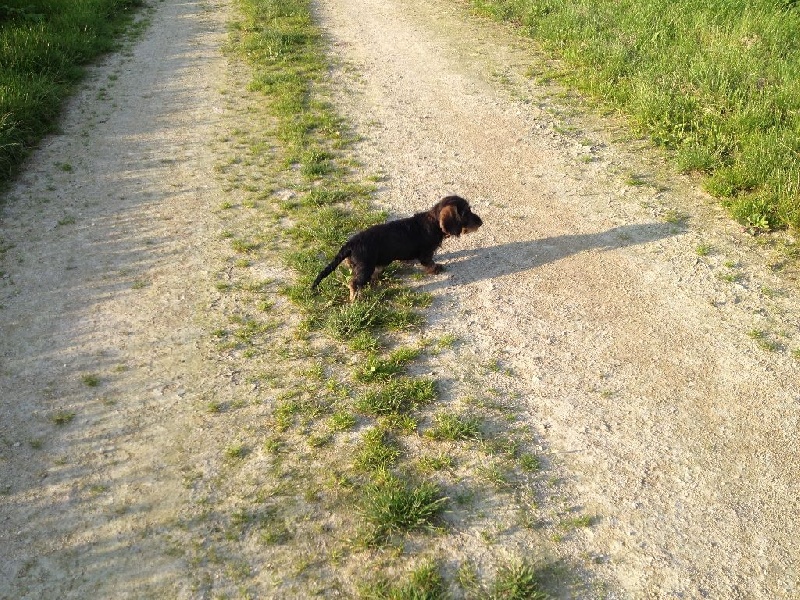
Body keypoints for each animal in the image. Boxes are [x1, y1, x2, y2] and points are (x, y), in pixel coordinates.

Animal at [310, 196, 482, 300]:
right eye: (466, 213)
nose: (481, 222)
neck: (433, 222)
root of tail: (350, 244)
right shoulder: (426, 253)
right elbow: (429, 262)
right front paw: (436, 269)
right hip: (365, 267)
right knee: (353, 283)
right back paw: (356, 299)